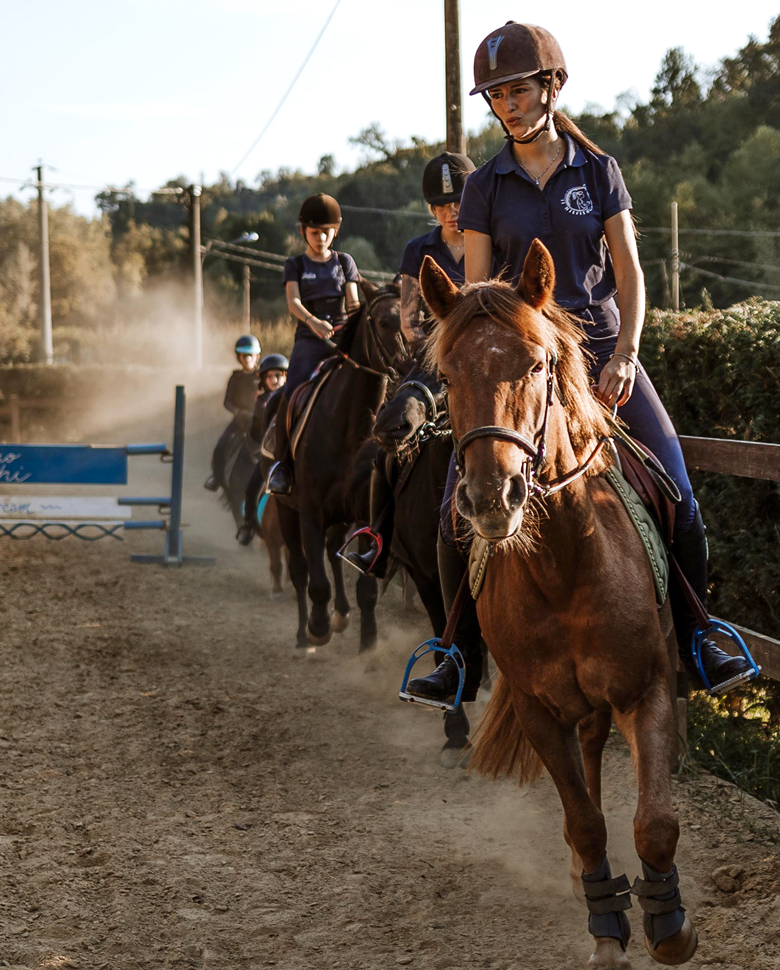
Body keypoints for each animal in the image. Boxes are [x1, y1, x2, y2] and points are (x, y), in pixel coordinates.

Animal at [266, 284, 406, 656]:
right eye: (383, 322)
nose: (408, 365)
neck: (349, 429)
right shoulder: (310, 513)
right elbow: (316, 582)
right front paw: (317, 628)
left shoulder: (367, 514)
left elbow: (366, 586)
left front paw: (368, 642)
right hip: (287, 510)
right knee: (300, 570)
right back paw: (305, 636)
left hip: (341, 516)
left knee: (332, 551)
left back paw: (342, 615)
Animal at [424, 248, 696, 968]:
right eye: (447, 375)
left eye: (536, 365)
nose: (493, 497)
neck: (565, 568)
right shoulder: (538, 710)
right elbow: (586, 821)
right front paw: (607, 929)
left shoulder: (648, 689)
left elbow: (655, 823)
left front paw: (671, 925)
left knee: (597, 746)